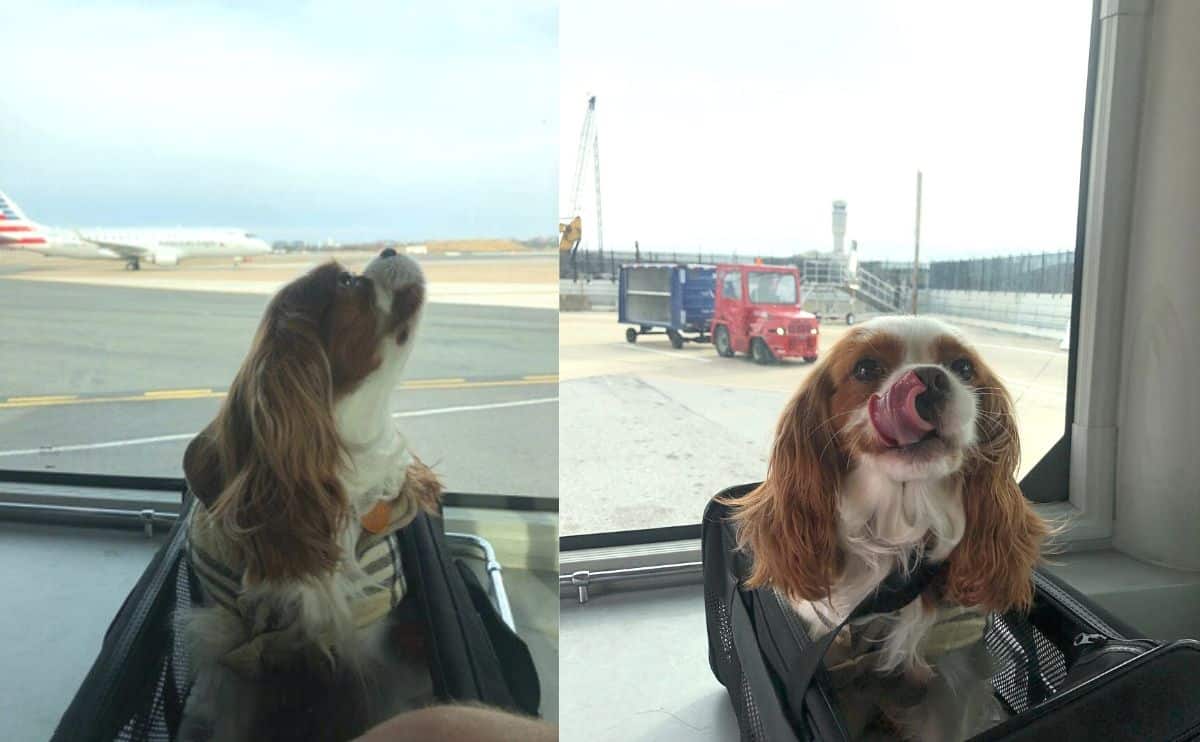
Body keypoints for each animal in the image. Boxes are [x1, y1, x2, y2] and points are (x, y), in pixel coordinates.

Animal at [724, 314, 1046, 734]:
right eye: (865, 368)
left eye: (963, 367)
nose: (931, 377)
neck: (898, 528)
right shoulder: (833, 652)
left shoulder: (951, 671)